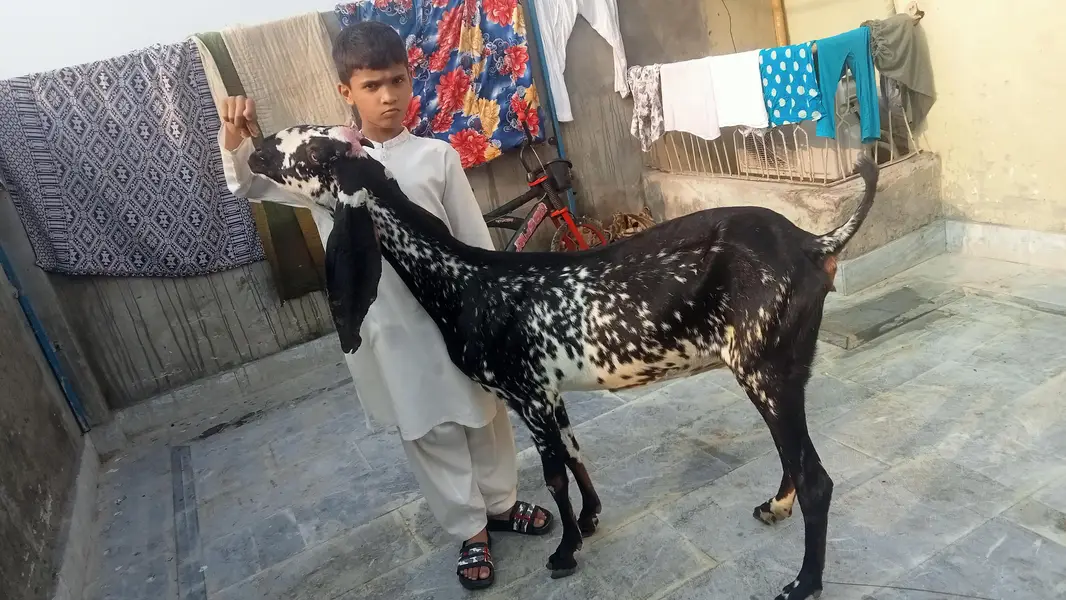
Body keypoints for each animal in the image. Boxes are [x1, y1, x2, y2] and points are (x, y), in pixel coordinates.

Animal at [247, 125, 879, 600]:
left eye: (308, 149)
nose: (253, 149)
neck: (466, 283)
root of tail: (814, 242)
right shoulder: (549, 393)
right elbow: (575, 455)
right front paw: (592, 519)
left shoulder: (525, 393)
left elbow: (552, 476)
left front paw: (565, 551)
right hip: (774, 368)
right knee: (792, 455)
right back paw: (775, 506)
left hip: (764, 366)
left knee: (817, 478)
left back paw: (802, 583)